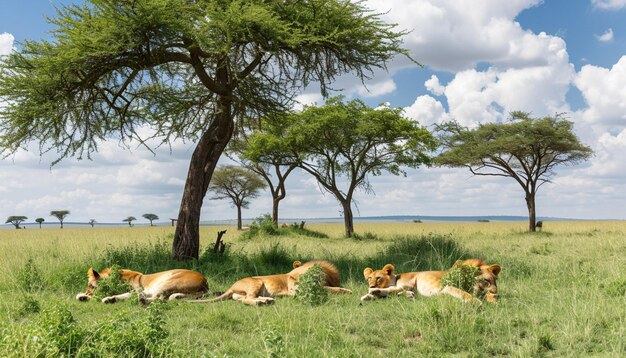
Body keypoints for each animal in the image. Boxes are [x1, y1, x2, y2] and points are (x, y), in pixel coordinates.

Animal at [75, 268, 207, 304]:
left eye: (91, 286)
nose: (87, 293)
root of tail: (204, 280)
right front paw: (82, 296)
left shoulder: (138, 289)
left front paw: (109, 298)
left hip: (167, 281)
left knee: (158, 299)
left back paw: (142, 300)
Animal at [195, 258, 352, 306]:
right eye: (294, 277)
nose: (293, 283)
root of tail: (231, 287)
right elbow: (334, 289)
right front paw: (349, 292)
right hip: (255, 282)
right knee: (247, 299)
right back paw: (262, 302)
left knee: (246, 298)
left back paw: (267, 300)